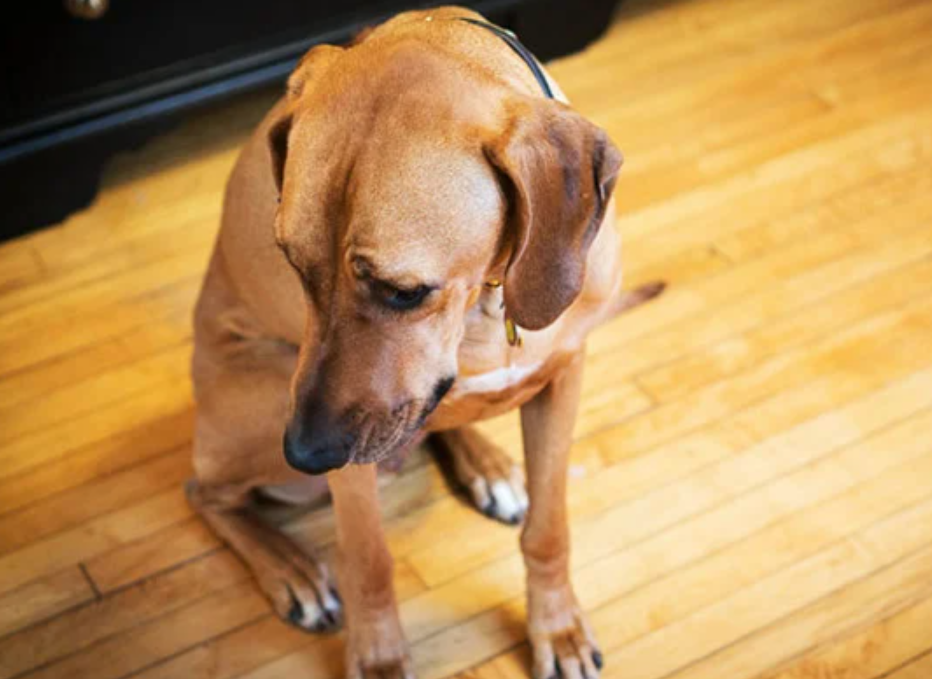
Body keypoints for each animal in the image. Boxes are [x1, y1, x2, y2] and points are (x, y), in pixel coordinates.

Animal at [188, 7, 664, 679]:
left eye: (403, 291)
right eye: (293, 265)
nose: (304, 452)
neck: (488, 294)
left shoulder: (565, 374)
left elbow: (548, 528)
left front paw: (557, 627)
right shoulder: (347, 452)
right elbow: (368, 561)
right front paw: (381, 660)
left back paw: (486, 464)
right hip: (259, 397)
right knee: (206, 493)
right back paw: (290, 567)